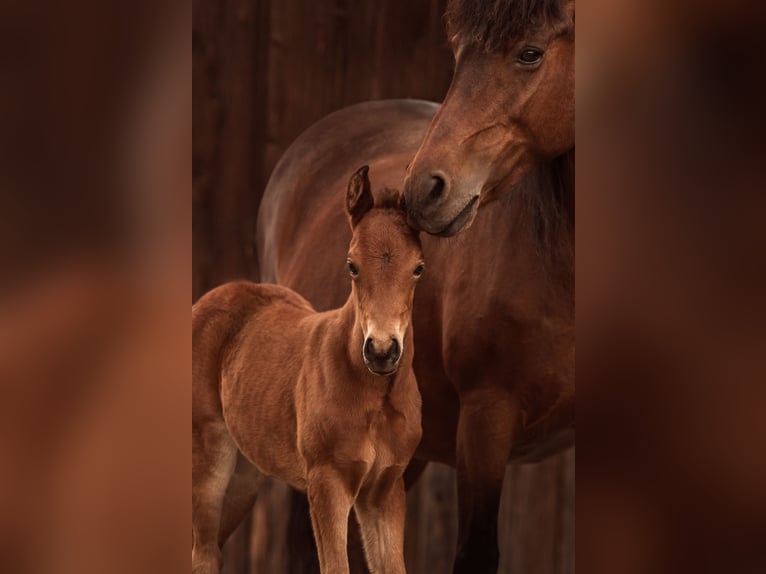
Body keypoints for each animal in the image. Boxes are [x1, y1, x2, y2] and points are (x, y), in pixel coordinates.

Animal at [190, 168, 424, 574]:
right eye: (352, 265)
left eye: (418, 268)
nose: (381, 352)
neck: (375, 396)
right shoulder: (327, 481)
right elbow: (335, 566)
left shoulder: (385, 487)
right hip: (208, 454)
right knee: (201, 552)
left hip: (245, 473)